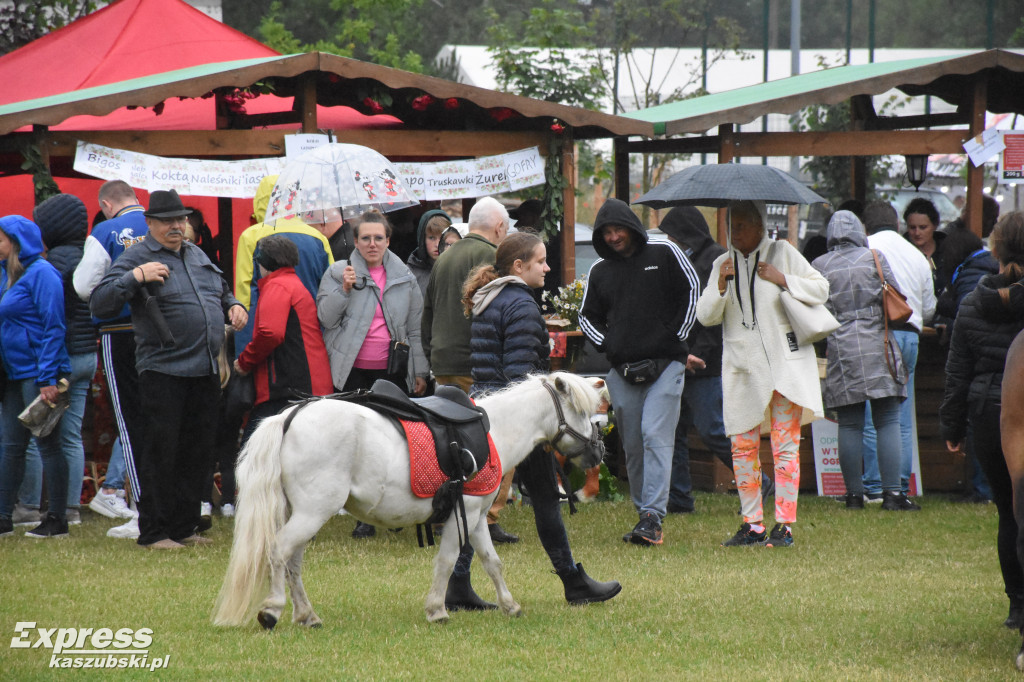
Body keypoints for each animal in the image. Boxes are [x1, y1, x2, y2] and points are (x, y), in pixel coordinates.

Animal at [212, 372, 602, 626]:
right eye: (582, 412)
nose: (598, 453)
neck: (494, 431)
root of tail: (290, 415)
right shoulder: (463, 514)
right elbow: (446, 561)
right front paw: (437, 610)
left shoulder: (477, 517)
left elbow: (492, 563)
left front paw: (509, 605)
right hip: (313, 513)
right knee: (279, 551)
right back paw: (273, 609)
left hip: (304, 514)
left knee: (292, 562)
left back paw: (307, 615)